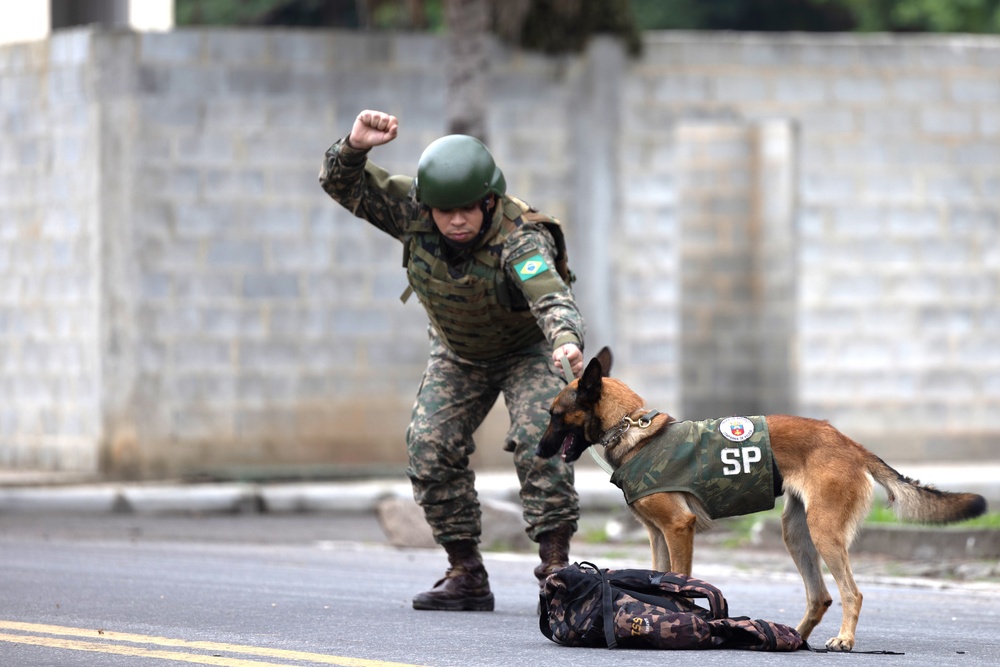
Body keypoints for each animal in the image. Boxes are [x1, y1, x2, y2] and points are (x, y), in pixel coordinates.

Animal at [536, 350, 988, 652]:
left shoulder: (678, 529)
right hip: (796, 534)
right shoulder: (657, 535)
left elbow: (680, 582)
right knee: (820, 596)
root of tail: (850, 444)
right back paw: (786, 638)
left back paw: (841, 639)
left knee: (851, 593)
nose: (536, 451)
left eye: (555, 415)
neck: (634, 432)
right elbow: (660, 577)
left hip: (824, 533)